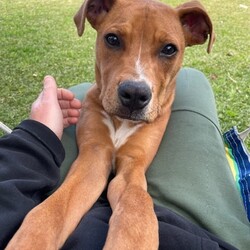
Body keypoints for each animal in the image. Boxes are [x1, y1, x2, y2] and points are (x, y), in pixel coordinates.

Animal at [6, 0, 214, 249]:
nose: (134, 94)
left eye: (169, 49)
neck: (121, 121)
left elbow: (137, 204)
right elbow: (51, 209)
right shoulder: (93, 158)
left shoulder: (133, 165)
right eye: (112, 39)